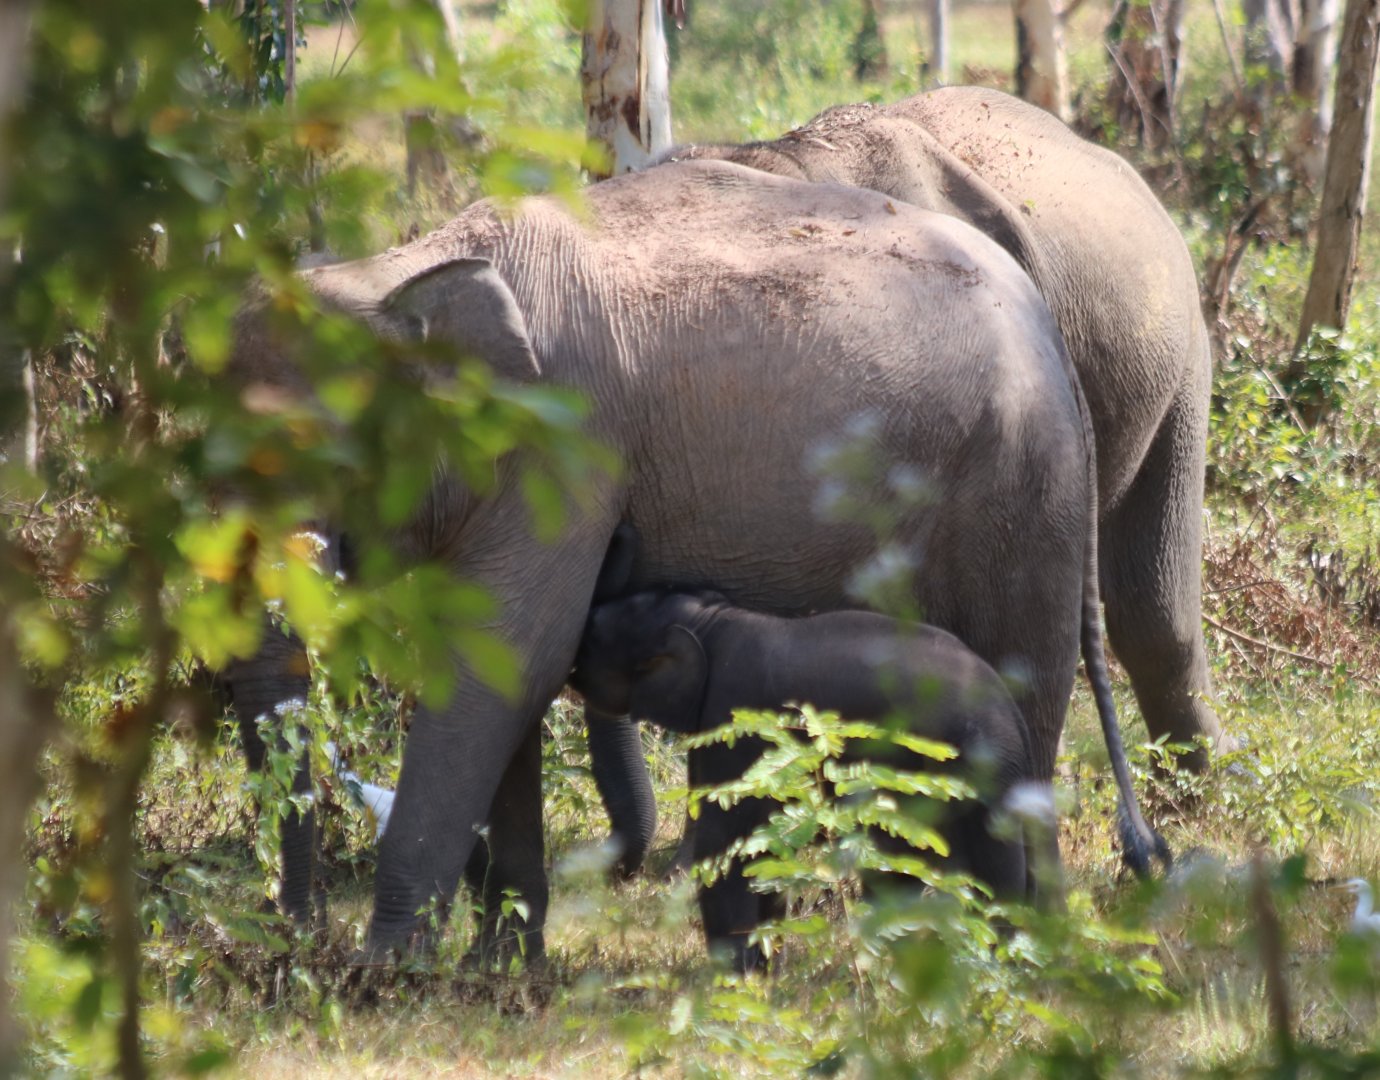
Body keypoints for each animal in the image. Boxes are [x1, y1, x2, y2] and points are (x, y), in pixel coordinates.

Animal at [570, 589, 1036, 970]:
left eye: (591, 637)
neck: (711, 620)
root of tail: (1009, 710)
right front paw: (762, 971)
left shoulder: (736, 714)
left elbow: (728, 837)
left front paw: (736, 980)